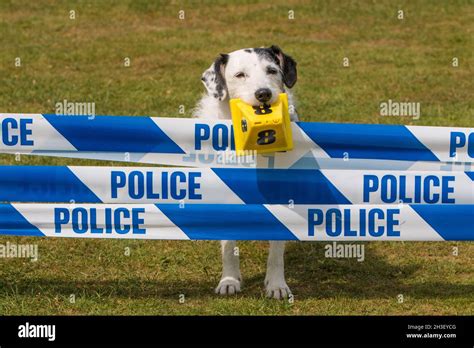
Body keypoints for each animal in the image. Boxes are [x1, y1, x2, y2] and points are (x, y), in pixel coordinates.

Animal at [192, 46, 296, 300]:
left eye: (272, 70)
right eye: (240, 75)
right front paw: (229, 280)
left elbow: (277, 250)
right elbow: (228, 246)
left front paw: (276, 284)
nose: (263, 94)